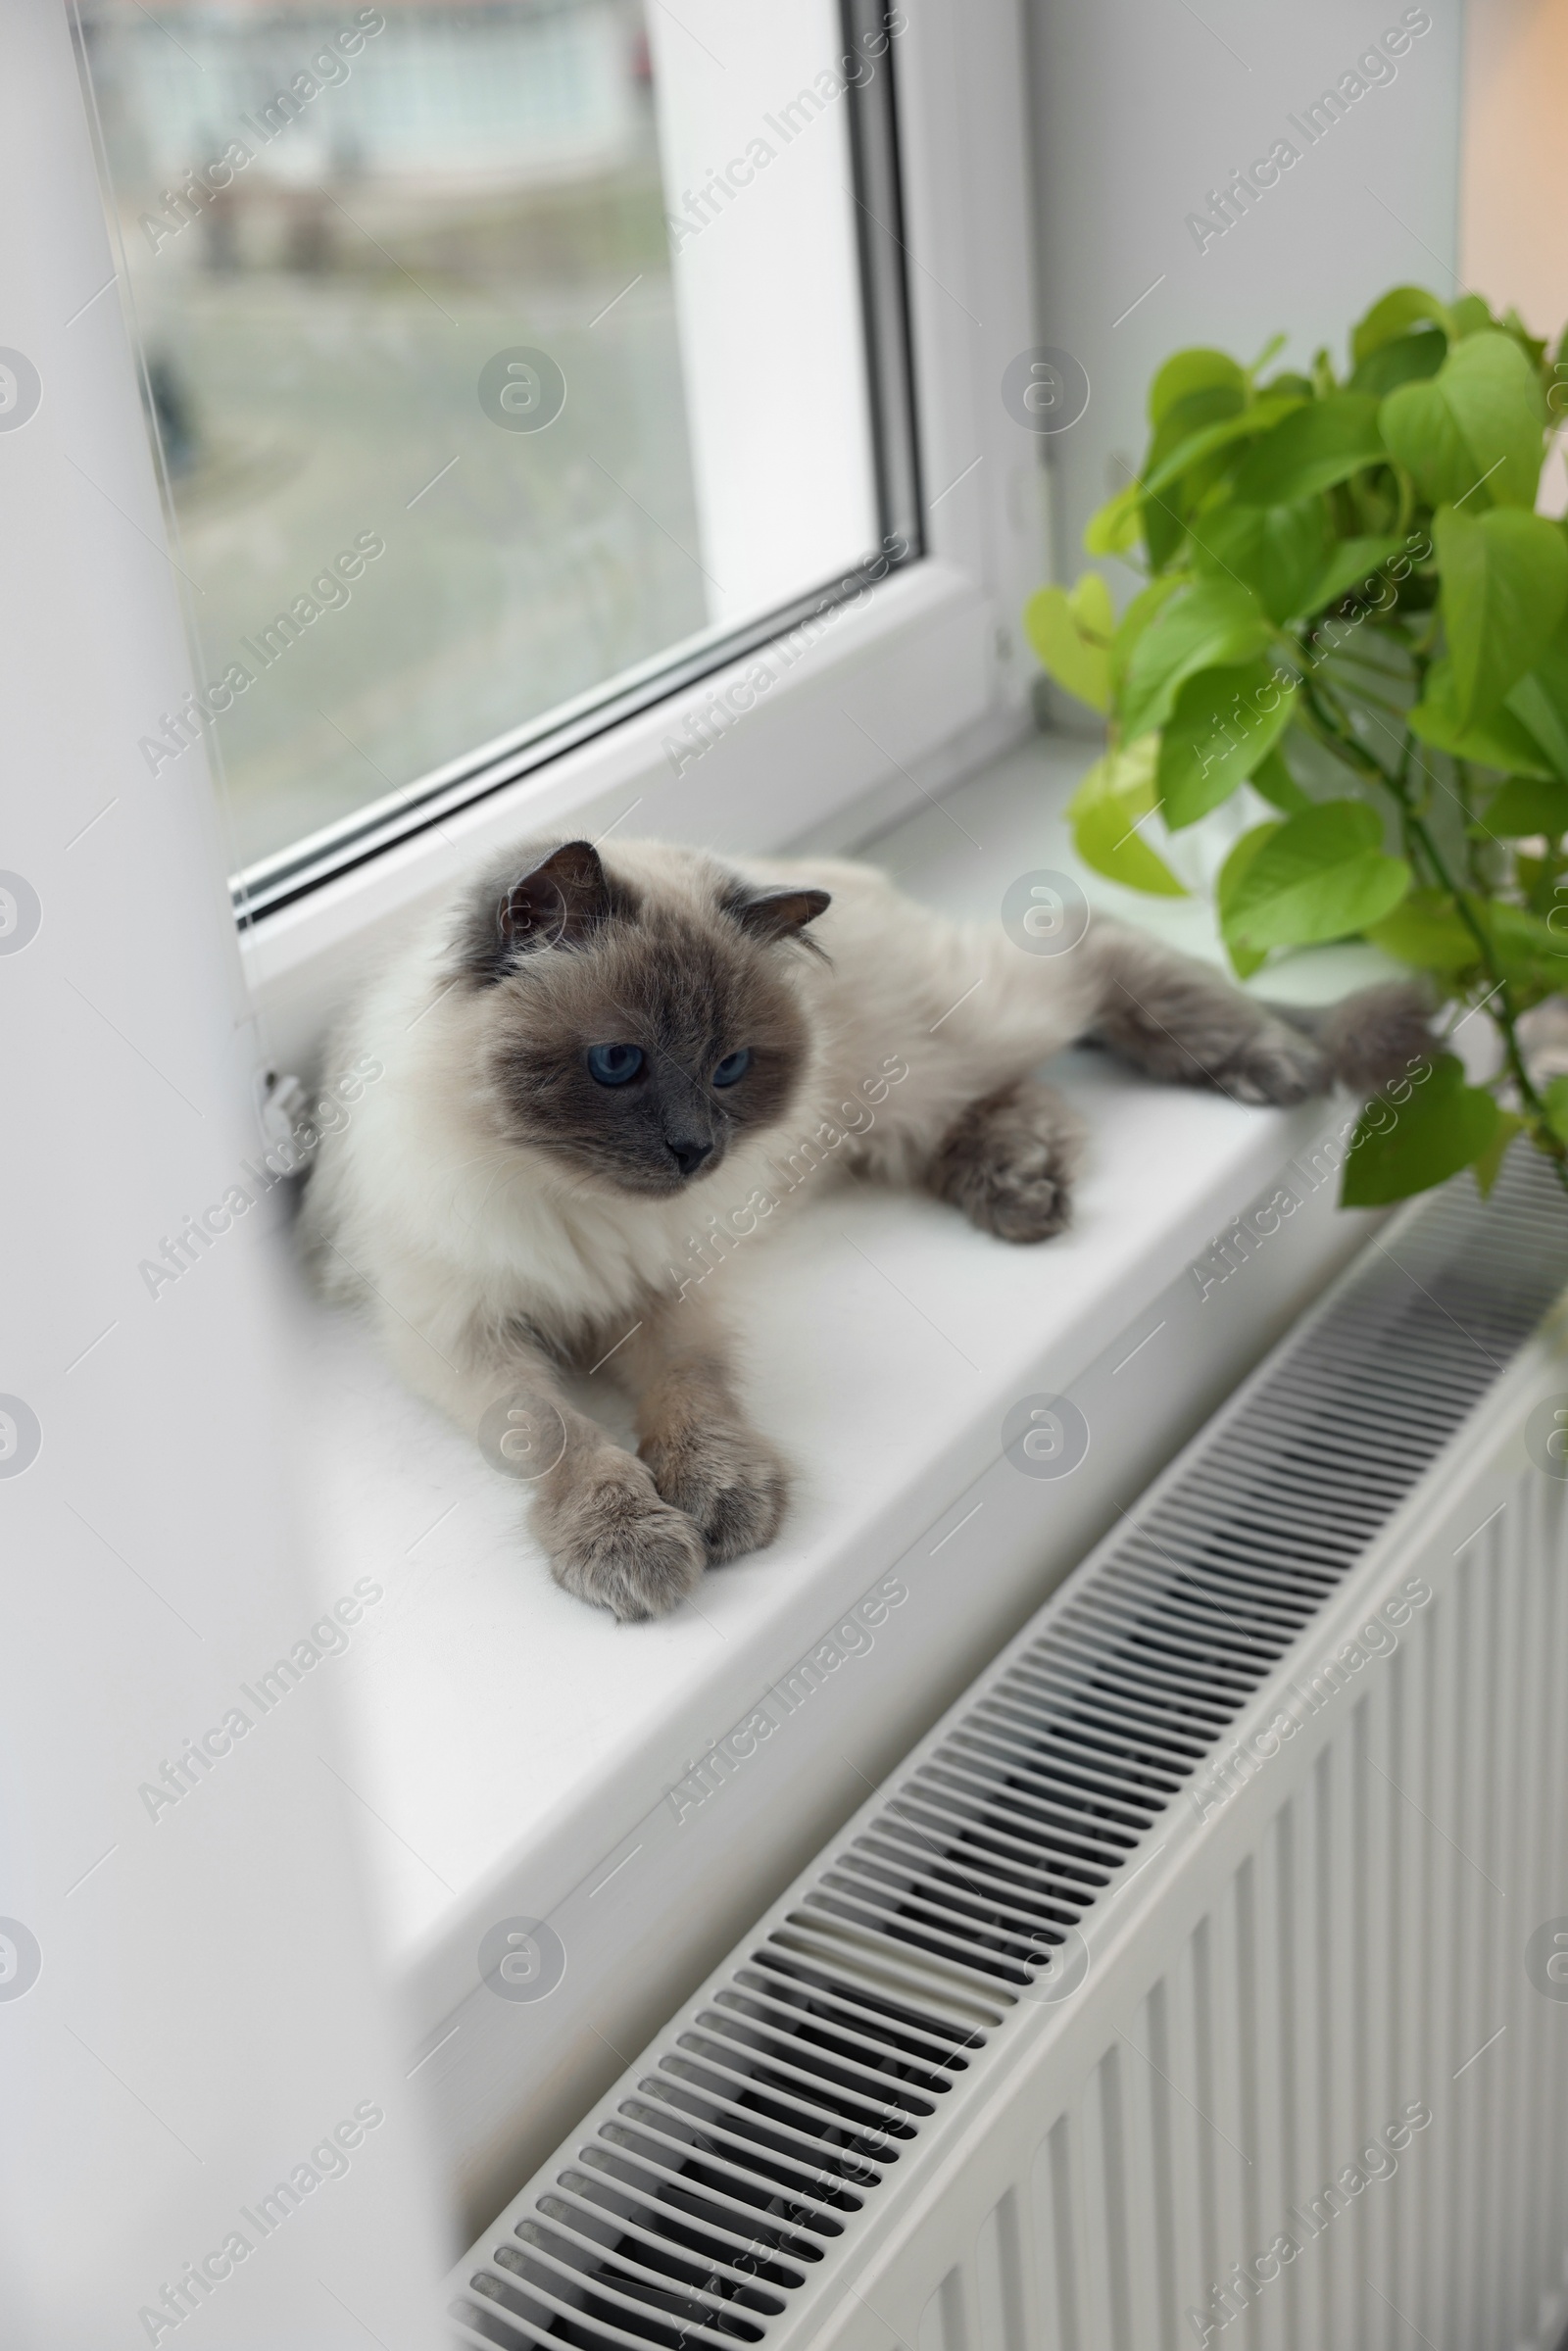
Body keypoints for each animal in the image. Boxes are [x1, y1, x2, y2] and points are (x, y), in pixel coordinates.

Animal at [297, 827, 1439, 1617]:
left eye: (730, 1067)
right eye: (617, 1063)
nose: (697, 1151)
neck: (579, 1203)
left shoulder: (669, 1292)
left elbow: (689, 1401)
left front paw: (719, 1502)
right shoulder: (468, 1333)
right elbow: (563, 1436)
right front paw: (637, 1542)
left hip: (924, 1061)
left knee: (1096, 955)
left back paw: (1262, 1063)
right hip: (895, 1112)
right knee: (1017, 1099)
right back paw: (1023, 1186)